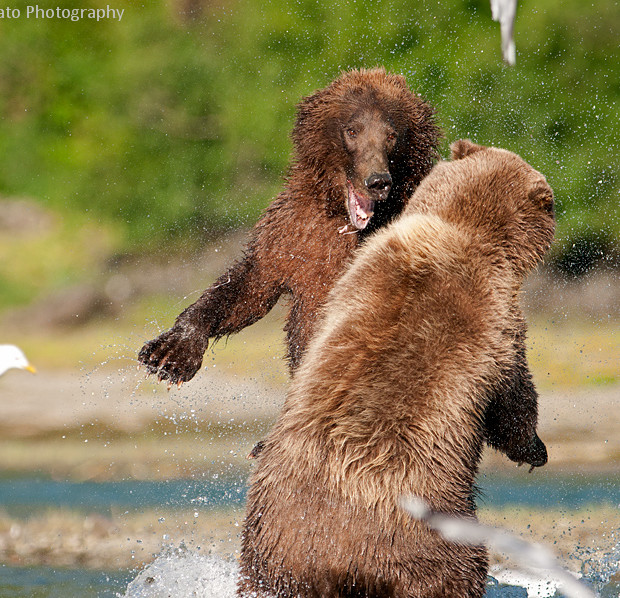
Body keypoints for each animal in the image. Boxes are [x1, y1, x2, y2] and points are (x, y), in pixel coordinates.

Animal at [140, 68, 440, 382]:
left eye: (391, 135)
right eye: (352, 130)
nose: (378, 181)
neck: (344, 220)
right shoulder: (294, 234)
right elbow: (250, 286)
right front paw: (171, 352)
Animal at [239, 142, 556, 598]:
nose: (555, 198)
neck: (462, 228)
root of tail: (339, 556)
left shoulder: (353, 278)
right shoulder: (496, 319)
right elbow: (512, 396)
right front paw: (533, 448)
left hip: (271, 539)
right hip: (431, 528)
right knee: (455, 571)